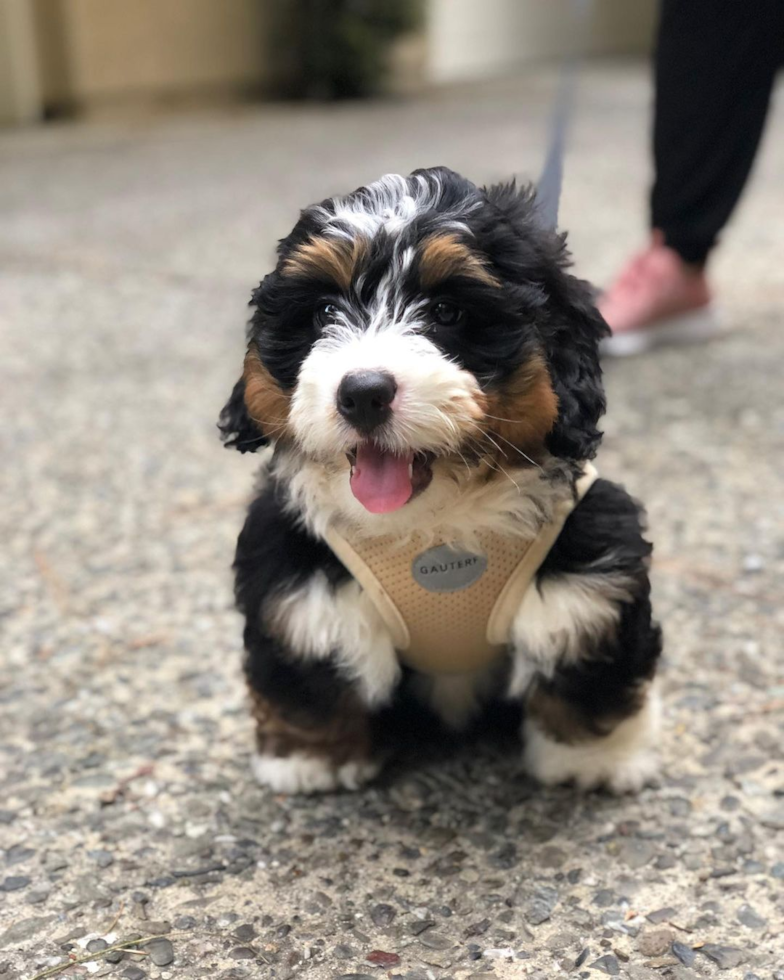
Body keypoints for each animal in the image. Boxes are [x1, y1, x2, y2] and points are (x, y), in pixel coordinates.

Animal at [219, 168, 660, 796]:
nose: (363, 392)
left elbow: (579, 648)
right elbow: (314, 656)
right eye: (325, 311)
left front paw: (593, 758)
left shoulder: (590, 558)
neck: (435, 523)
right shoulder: (294, 574)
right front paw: (313, 758)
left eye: (448, 312)